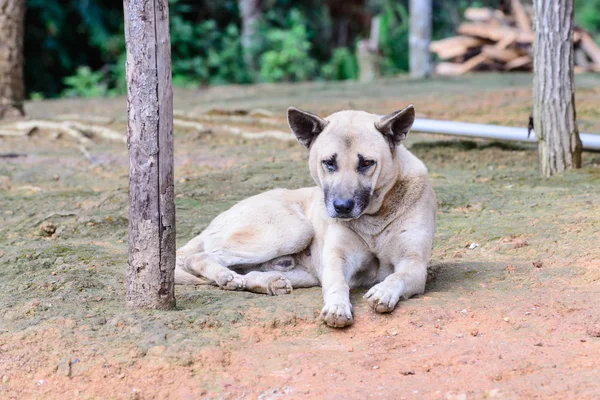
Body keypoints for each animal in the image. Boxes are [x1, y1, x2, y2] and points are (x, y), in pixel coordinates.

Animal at [175, 104, 436, 326]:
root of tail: (213, 222)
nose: (342, 207)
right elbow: (337, 283)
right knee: (197, 257)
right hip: (294, 230)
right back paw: (225, 276)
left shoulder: (414, 264)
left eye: (367, 163)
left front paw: (383, 291)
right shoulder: (336, 259)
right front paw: (337, 307)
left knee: (245, 271)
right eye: (329, 163)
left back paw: (266, 282)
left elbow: (396, 277)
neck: (374, 218)